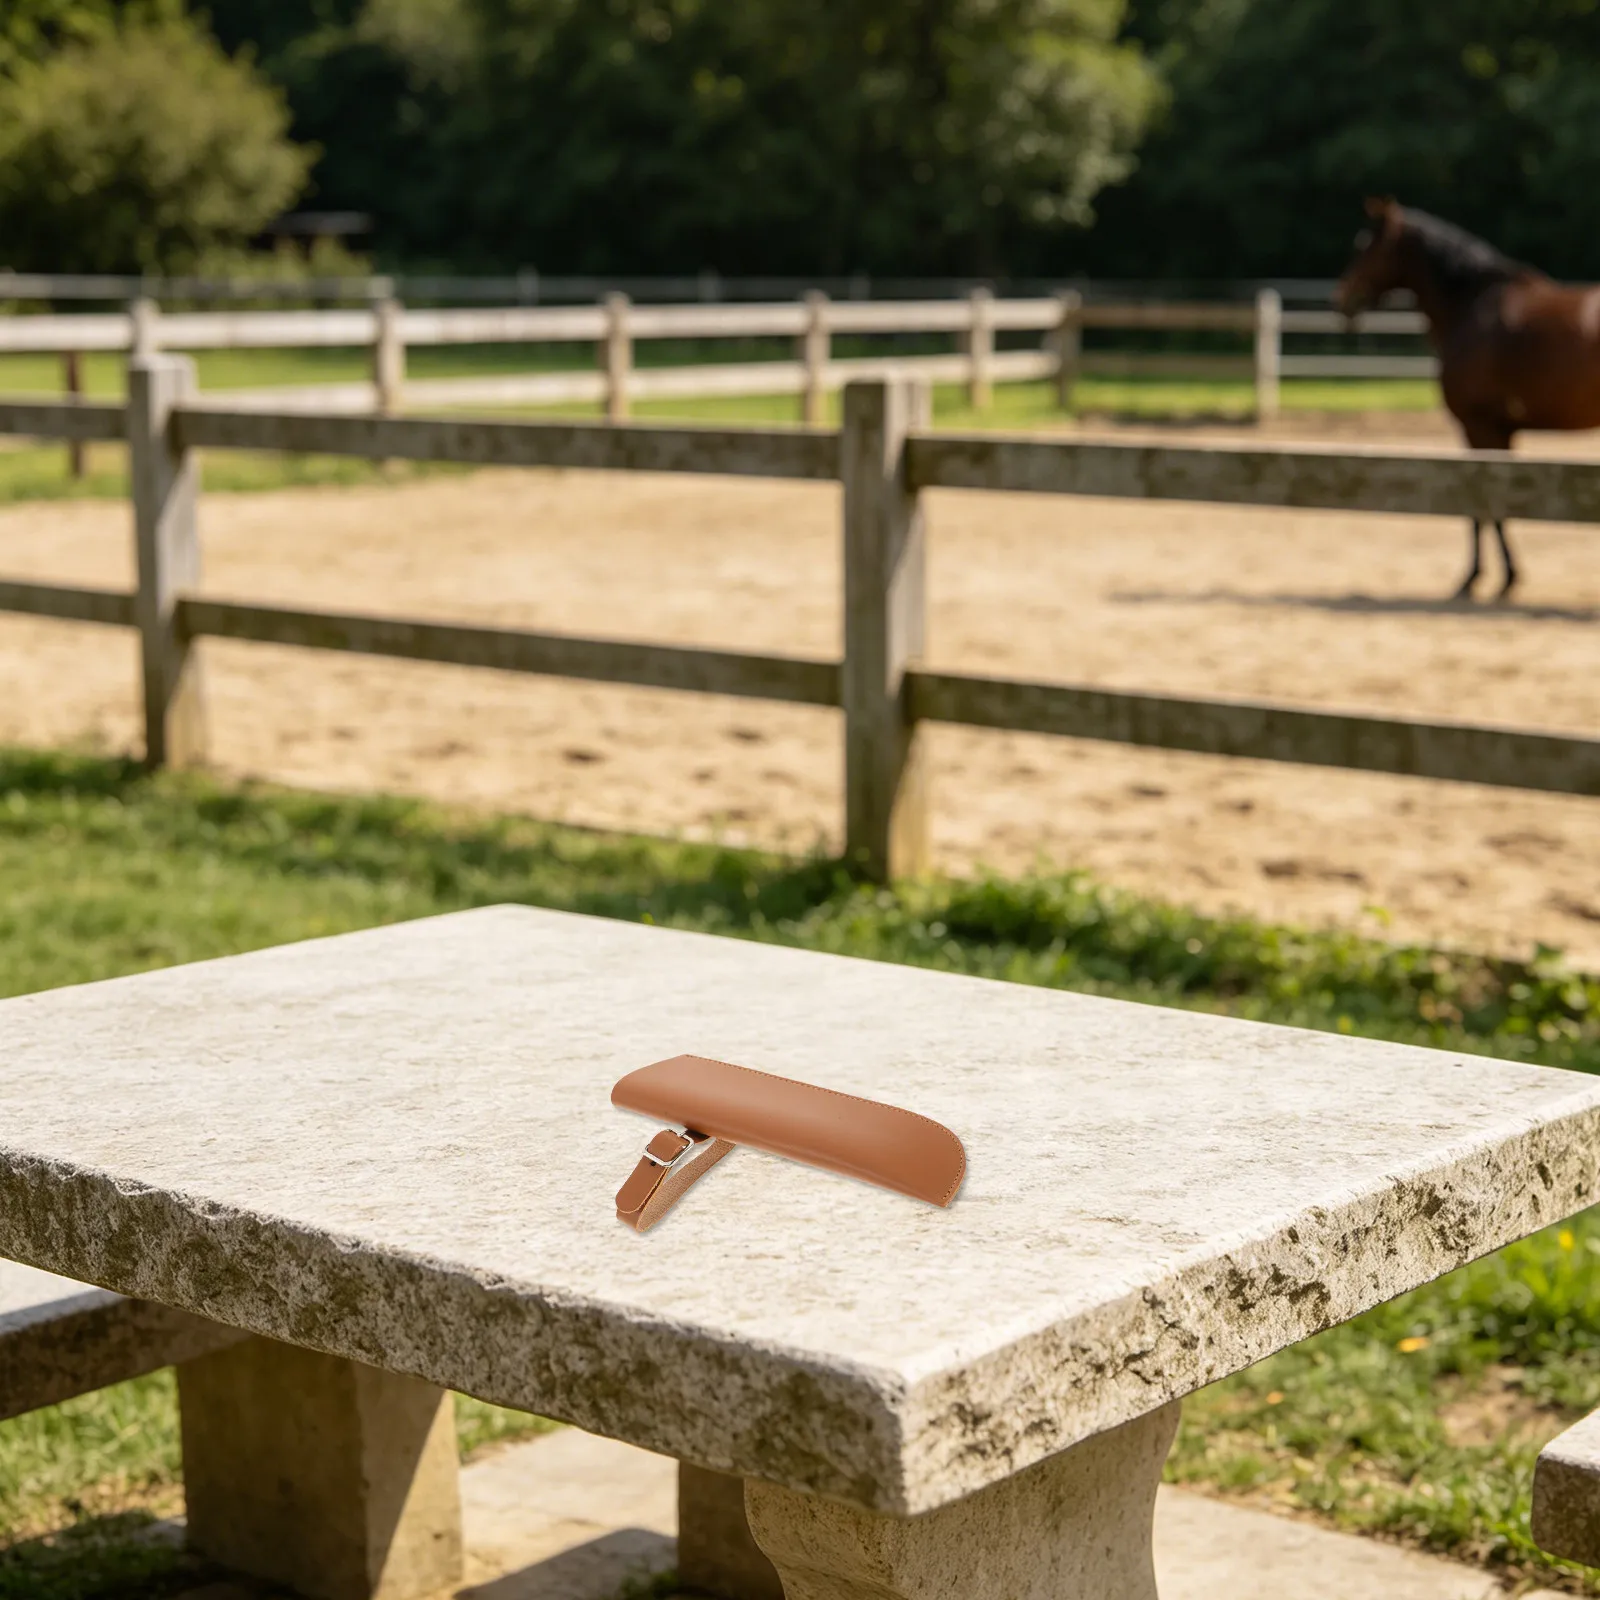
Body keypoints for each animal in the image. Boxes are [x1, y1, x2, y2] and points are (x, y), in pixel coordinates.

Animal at [1335, 199, 1600, 599]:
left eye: (1365, 246)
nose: (1343, 299)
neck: (1471, 307)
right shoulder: (1500, 430)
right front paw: (1502, 576)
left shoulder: (1478, 427)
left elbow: (1480, 502)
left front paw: (1480, 577)